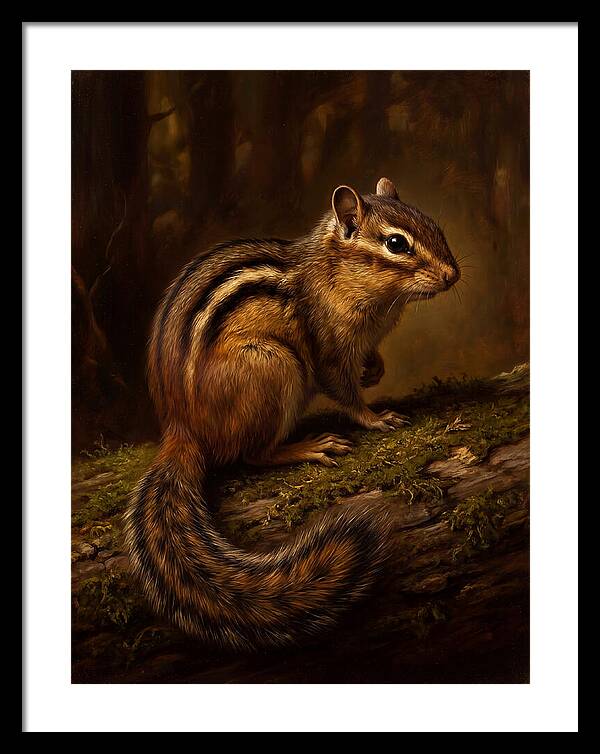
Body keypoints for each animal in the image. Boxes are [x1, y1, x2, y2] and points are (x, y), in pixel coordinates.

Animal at [124, 177, 460, 650]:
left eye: (434, 225)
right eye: (396, 244)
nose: (453, 275)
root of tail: (182, 429)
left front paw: (375, 370)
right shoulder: (328, 348)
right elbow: (343, 391)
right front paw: (376, 418)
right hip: (274, 366)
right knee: (251, 454)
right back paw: (309, 447)